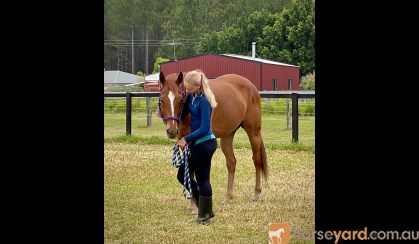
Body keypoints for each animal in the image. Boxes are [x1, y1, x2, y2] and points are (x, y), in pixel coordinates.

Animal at [158, 70, 270, 202]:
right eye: (162, 100)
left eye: (180, 100)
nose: (171, 130)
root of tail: (252, 87)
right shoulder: (184, 143)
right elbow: (189, 173)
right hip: (228, 135)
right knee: (231, 163)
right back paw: (228, 197)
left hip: (253, 133)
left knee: (257, 160)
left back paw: (256, 193)